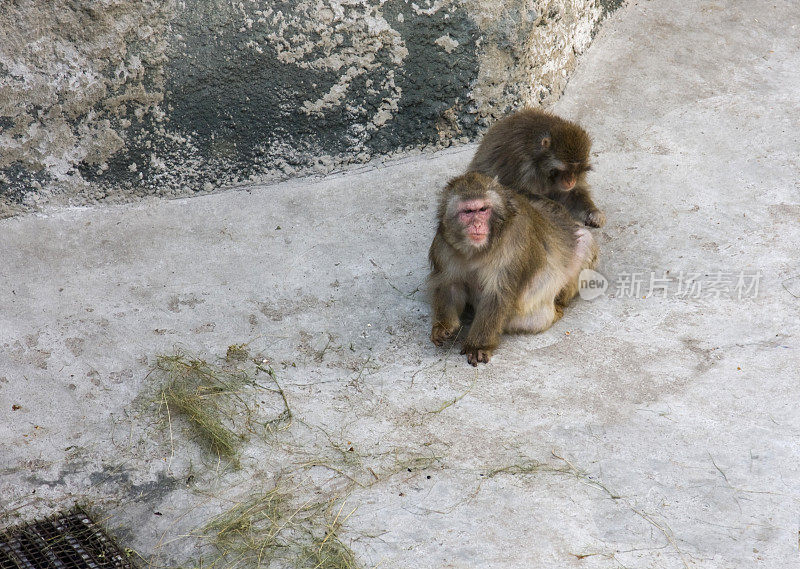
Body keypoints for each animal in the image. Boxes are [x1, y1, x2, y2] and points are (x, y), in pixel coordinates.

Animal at [428, 172, 596, 364]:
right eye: (468, 212)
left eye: (483, 210)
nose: (477, 225)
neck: (480, 250)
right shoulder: (443, 245)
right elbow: (450, 285)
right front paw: (443, 326)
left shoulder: (514, 244)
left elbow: (498, 294)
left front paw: (478, 345)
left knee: (585, 241)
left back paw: (557, 308)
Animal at [466, 108, 604, 226]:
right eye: (564, 170)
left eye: (575, 171)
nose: (571, 181)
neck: (538, 159)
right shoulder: (522, 164)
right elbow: (517, 193)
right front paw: (564, 215)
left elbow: (573, 192)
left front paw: (594, 213)